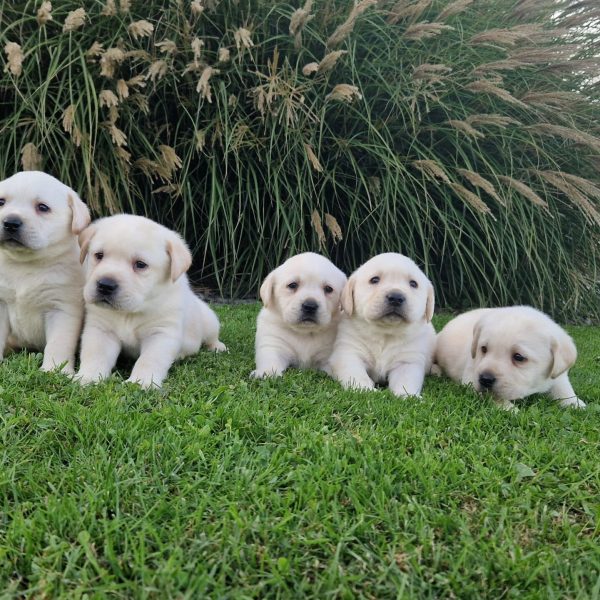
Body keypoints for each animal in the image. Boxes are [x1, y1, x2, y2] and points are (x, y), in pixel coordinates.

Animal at [0, 171, 91, 372]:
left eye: (42, 207)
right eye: (1, 202)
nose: (10, 222)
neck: (24, 264)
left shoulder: (61, 309)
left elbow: (58, 343)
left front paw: (55, 370)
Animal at [75, 216, 225, 390]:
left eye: (140, 264)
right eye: (99, 255)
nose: (105, 285)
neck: (129, 313)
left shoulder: (161, 334)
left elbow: (149, 360)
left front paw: (140, 382)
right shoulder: (101, 330)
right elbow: (95, 354)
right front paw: (87, 377)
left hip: (209, 320)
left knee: (211, 337)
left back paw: (217, 347)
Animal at [328, 253, 436, 398]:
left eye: (413, 284)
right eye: (374, 280)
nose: (396, 297)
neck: (385, 332)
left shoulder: (408, 360)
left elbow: (406, 380)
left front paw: (408, 396)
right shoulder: (349, 352)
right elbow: (356, 374)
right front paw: (364, 390)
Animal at [434, 308, 584, 410]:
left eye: (518, 357)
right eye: (483, 349)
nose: (485, 379)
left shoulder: (557, 373)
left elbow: (563, 387)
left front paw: (575, 403)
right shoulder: (471, 378)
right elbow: (494, 395)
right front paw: (511, 409)